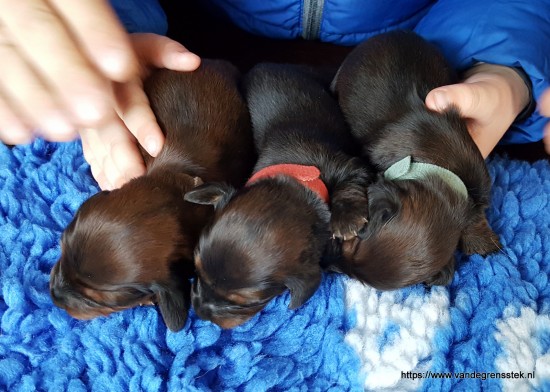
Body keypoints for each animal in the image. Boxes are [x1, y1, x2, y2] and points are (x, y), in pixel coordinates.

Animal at [187, 63, 376, 328]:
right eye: (196, 267)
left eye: (246, 302)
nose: (200, 311)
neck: (297, 182)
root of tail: (266, 63)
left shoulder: (350, 166)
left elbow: (350, 182)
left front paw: (347, 218)